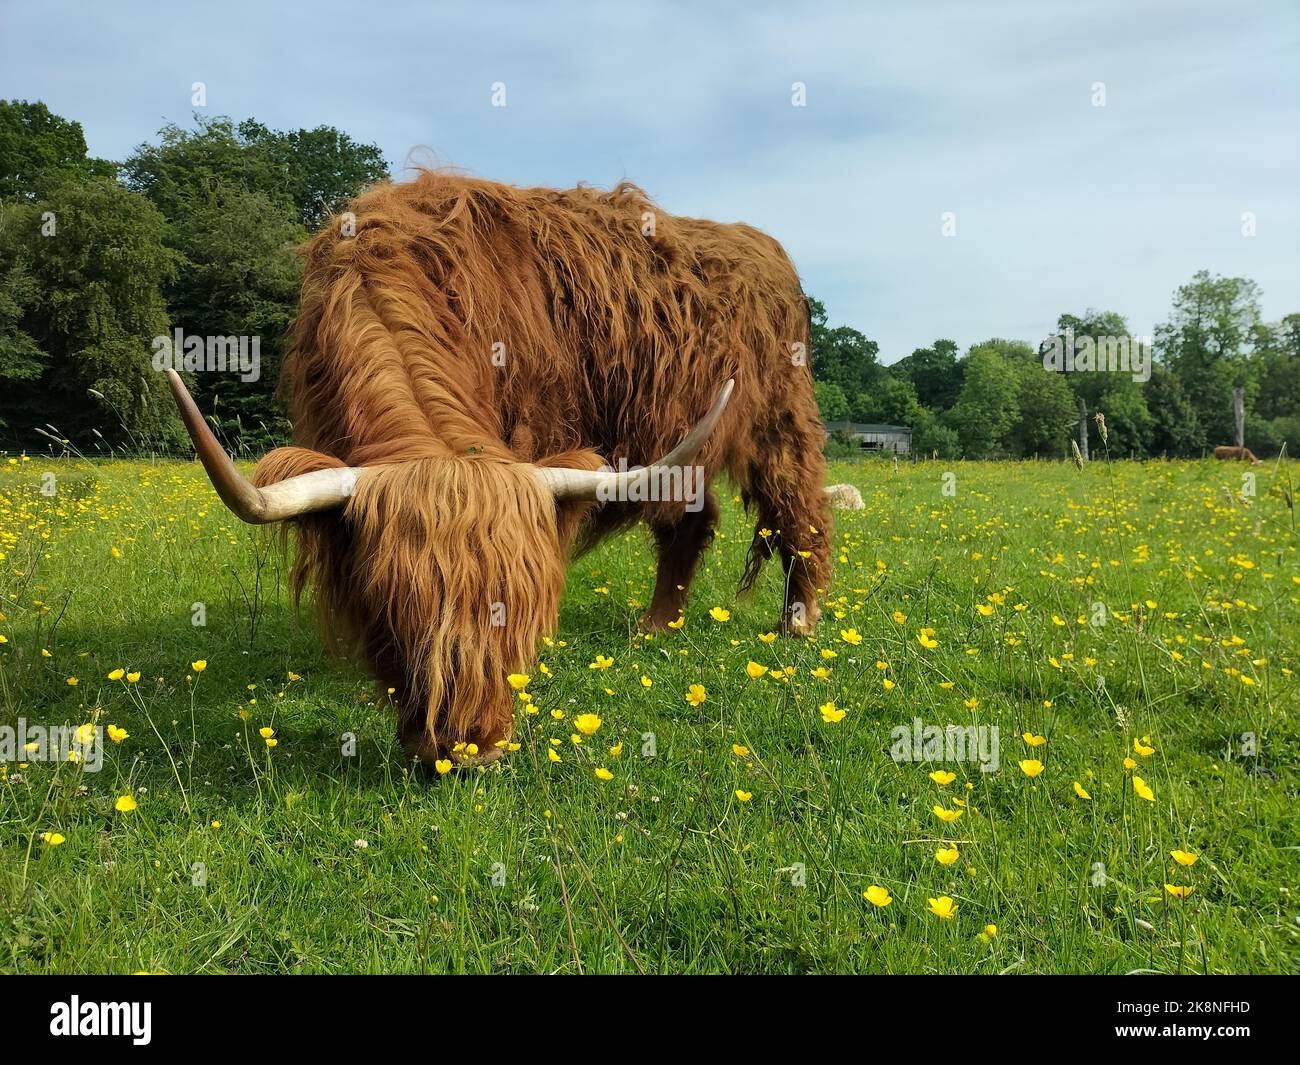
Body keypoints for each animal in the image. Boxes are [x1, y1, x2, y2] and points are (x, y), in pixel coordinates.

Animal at [167, 171, 831, 768]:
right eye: (391, 607)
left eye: (520, 613)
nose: (471, 748)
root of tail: (762, 244)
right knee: (692, 521)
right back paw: (656, 627)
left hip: (780, 415)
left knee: (800, 510)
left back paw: (797, 624)